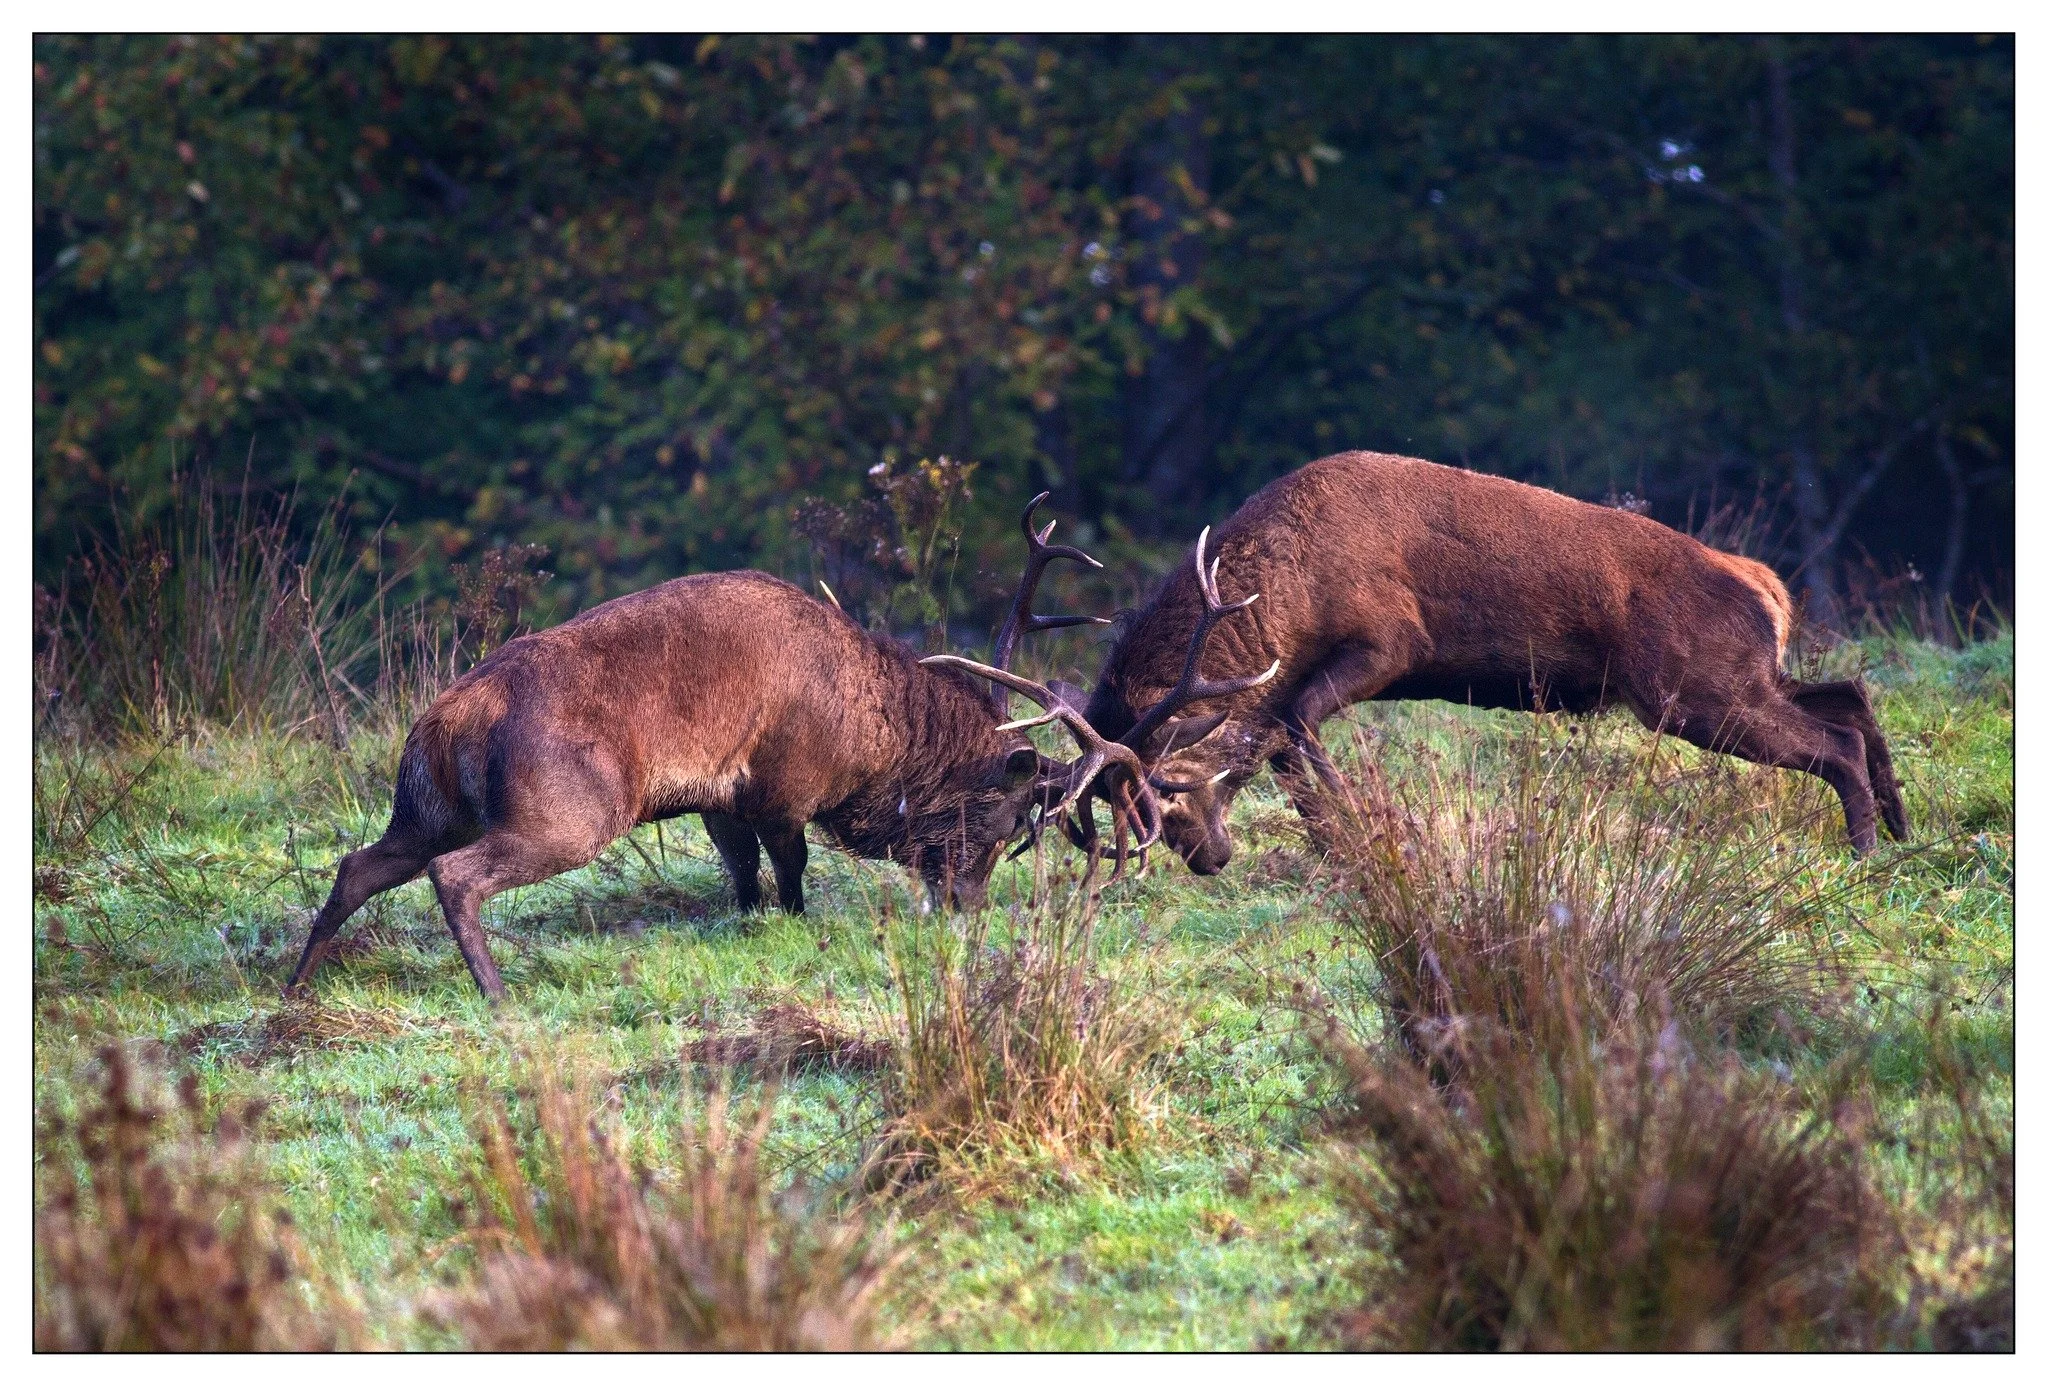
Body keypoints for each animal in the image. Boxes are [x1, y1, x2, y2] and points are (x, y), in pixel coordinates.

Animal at [284, 496, 1180, 1002]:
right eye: (1003, 817)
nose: (969, 905)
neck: (867, 742)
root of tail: (446, 719)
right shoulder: (786, 784)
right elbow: (792, 872)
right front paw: (792, 923)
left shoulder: (716, 797)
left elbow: (742, 874)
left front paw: (746, 919)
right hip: (567, 809)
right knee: (455, 874)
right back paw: (498, 993)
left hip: (422, 806)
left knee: (357, 863)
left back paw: (297, 984)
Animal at [1072, 450, 1910, 875]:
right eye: (1116, 796)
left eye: (1167, 784)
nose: (1204, 856)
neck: (1289, 600)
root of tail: (1769, 586)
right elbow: (1281, 738)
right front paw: (1335, 840)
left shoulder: (1392, 637)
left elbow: (1300, 724)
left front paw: (1363, 829)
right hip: (1738, 676)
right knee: (1851, 694)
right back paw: (1901, 824)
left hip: (1692, 690)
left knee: (1833, 737)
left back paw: (1865, 847)